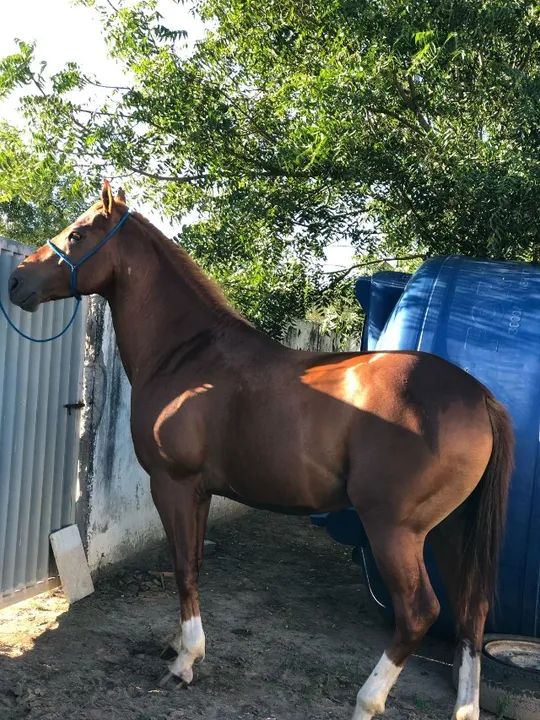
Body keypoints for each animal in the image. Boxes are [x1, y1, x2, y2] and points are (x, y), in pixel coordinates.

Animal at [8, 181, 513, 720]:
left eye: (78, 234)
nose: (17, 282)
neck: (188, 354)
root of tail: (478, 395)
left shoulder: (172, 484)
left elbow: (182, 566)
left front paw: (185, 661)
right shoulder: (201, 492)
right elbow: (195, 564)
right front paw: (181, 645)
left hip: (395, 530)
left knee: (419, 612)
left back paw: (367, 700)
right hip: (451, 529)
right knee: (471, 611)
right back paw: (464, 706)